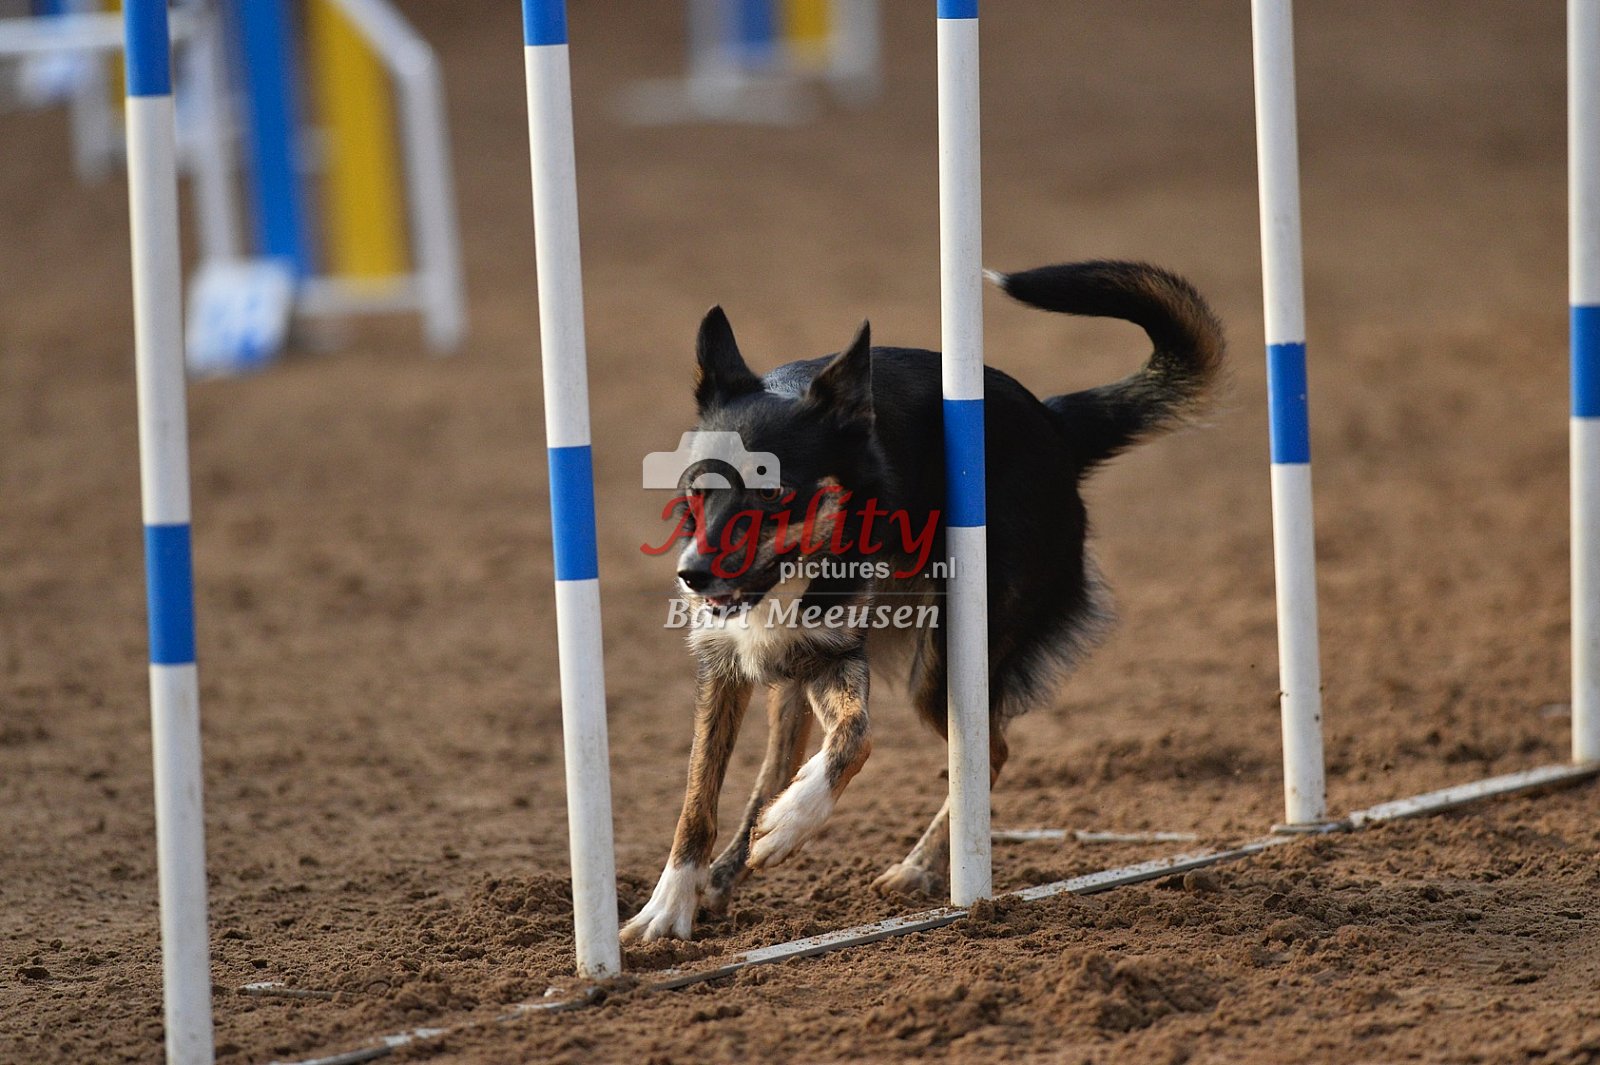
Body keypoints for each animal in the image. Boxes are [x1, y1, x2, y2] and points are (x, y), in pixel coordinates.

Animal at [621, 260, 1225, 943]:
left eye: (773, 493)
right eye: (695, 489)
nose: (691, 574)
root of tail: (1054, 426)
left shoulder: (836, 656)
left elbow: (856, 738)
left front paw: (796, 821)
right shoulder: (731, 662)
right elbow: (698, 800)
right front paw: (668, 907)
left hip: (944, 665)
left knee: (990, 749)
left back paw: (914, 867)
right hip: (808, 673)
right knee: (778, 764)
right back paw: (730, 871)